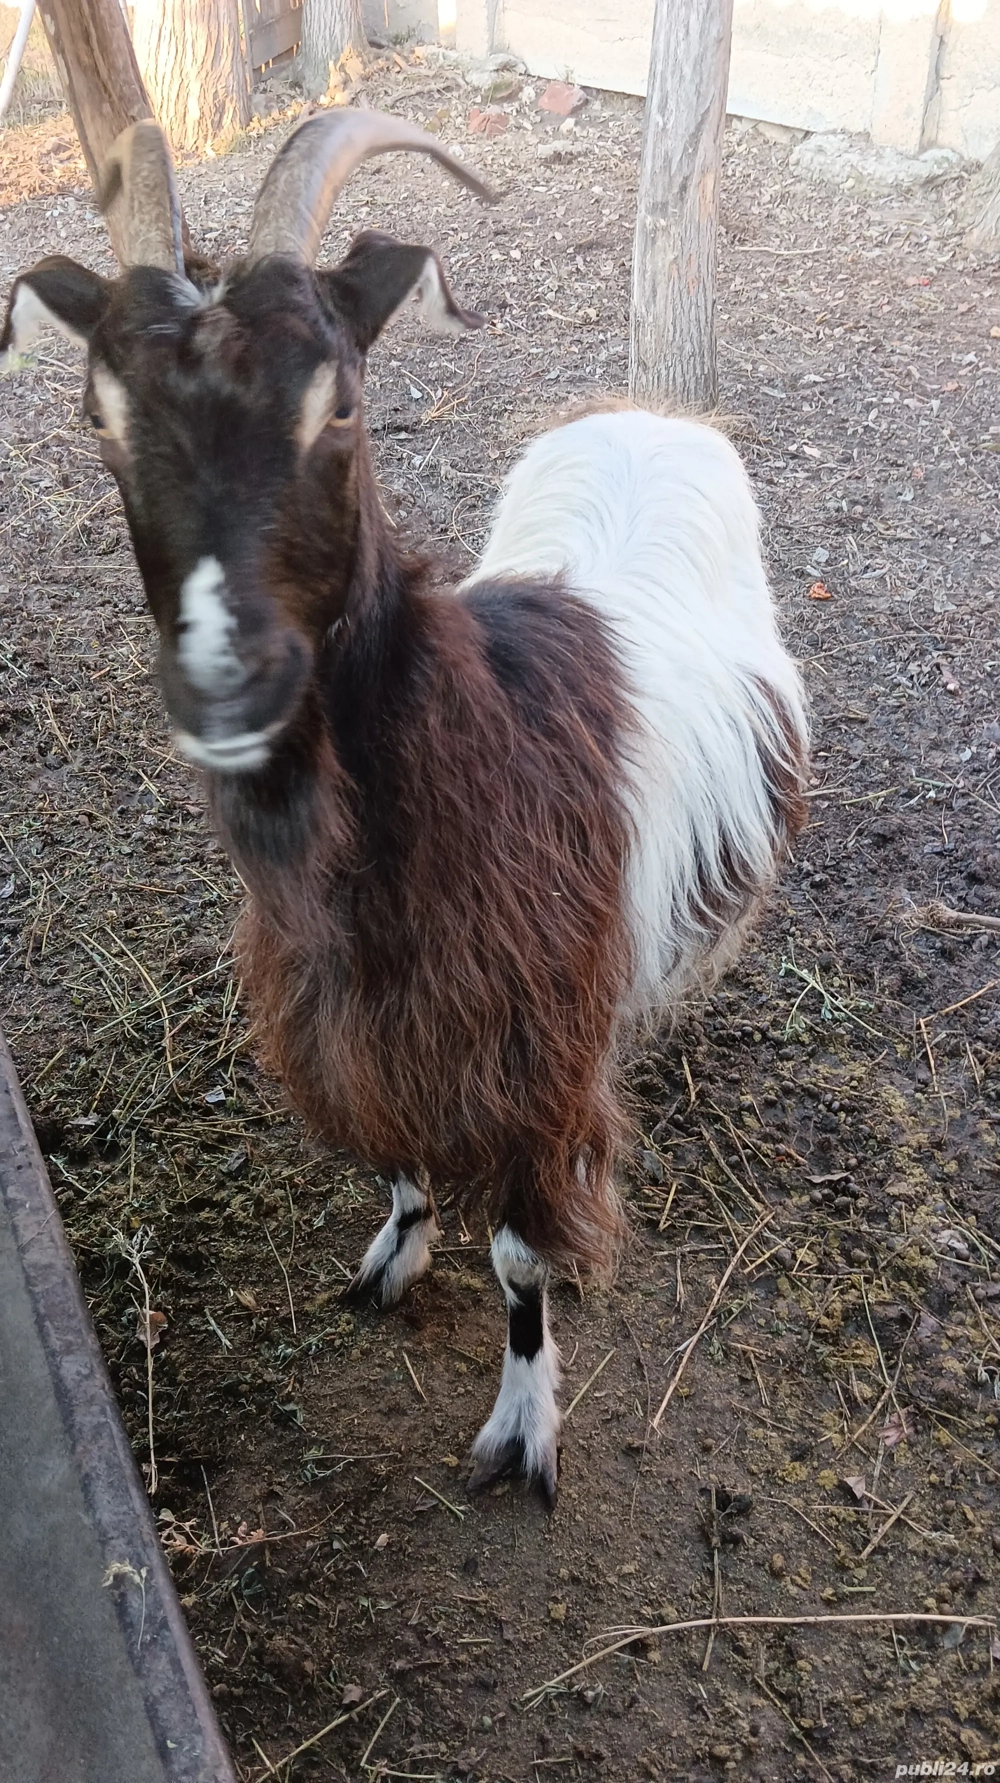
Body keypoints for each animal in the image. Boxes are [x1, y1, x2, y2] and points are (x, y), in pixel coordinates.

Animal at [1, 112, 809, 1503]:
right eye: (100, 418)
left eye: (342, 401)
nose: (226, 680)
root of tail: (647, 412)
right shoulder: (350, 1023)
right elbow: (391, 1151)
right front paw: (399, 1244)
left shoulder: (535, 1069)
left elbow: (523, 1258)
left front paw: (524, 1425)